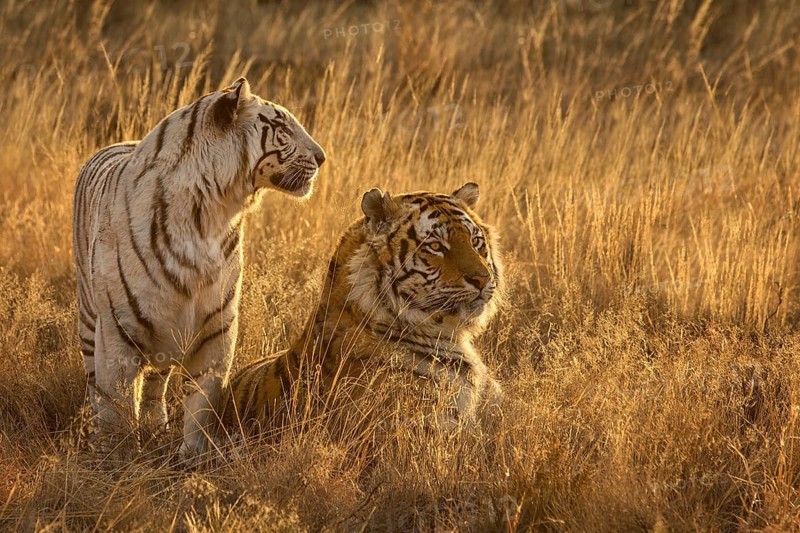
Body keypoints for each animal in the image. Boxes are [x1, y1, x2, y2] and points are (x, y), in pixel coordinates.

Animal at [72, 77, 326, 456]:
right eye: (282, 127)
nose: (322, 157)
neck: (211, 214)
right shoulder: (117, 331)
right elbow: (116, 403)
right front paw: (117, 455)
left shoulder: (216, 326)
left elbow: (204, 401)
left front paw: (194, 455)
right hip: (90, 322)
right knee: (94, 385)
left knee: (156, 383)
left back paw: (157, 426)